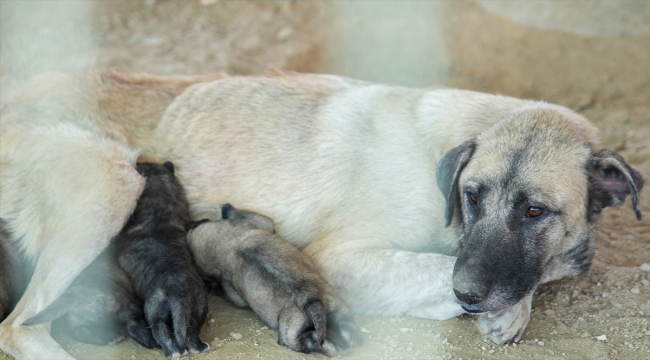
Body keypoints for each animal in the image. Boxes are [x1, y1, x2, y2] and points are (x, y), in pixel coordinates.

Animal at [22, 245, 156, 348]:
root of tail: (81, 289)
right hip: (125, 302)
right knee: (133, 321)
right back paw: (147, 339)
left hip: (79, 317)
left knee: (79, 330)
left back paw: (109, 337)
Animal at [114, 162, 208, 358]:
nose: (140, 162)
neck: (159, 211)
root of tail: (179, 294)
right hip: (198, 308)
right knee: (191, 334)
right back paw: (200, 347)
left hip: (154, 311)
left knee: (162, 333)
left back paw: (173, 352)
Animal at [186, 202, 360, 358]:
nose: (190, 224)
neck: (227, 242)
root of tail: (309, 299)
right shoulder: (260, 223)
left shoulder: (233, 293)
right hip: (337, 309)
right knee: (343, 330)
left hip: (294, 335)